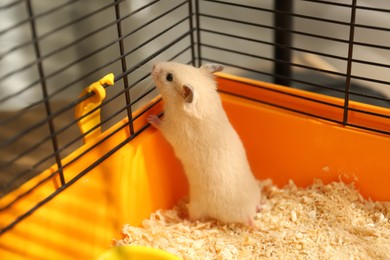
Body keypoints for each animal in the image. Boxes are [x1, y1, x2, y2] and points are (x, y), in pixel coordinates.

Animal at [148, 61, 260, 225]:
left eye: (169, 77)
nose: (154, 64)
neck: (205, 102)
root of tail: (248, 214)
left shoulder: (170, 128)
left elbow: (160, 125)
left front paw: (149, 118)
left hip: (197, 206)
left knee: (193, 217)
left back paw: (183, 216)